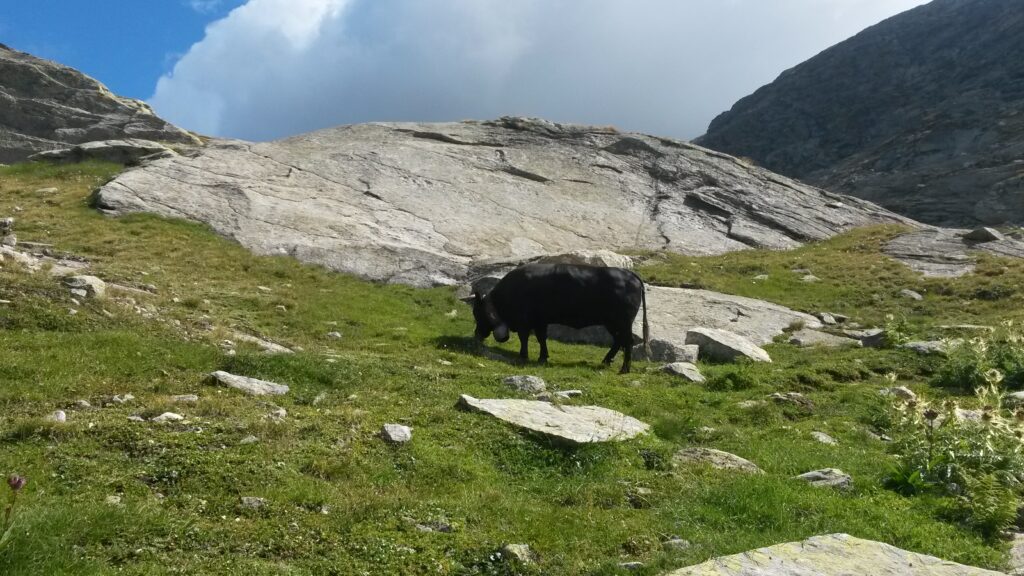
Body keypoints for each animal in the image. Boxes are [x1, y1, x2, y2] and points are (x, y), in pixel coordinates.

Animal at [472, 263, 650, 374]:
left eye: (476, 313)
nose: (476, 335)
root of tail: (630, 274)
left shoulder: (525, 321)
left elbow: (524, 338)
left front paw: (523, 356)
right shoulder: (540, 321)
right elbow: (541, 338)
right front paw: (543, 357)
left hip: (622, 322)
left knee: (627, 342)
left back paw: (624, 369)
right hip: (612, 323)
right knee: (619, 341)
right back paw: (606, 361)